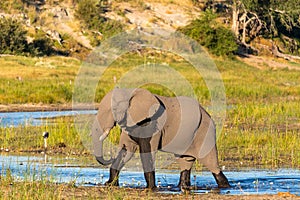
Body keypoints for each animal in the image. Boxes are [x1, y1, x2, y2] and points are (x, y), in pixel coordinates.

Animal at [91, 88, 230, 191]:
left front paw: (150, 189)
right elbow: (127, 149)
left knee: (211, 162)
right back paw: (182, 186)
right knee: (185, 161)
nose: (109, 157)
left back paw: (225, 186)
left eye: (114, 109)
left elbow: (147, 150)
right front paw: (109, 184)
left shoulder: (150, 123)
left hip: (205, 131)